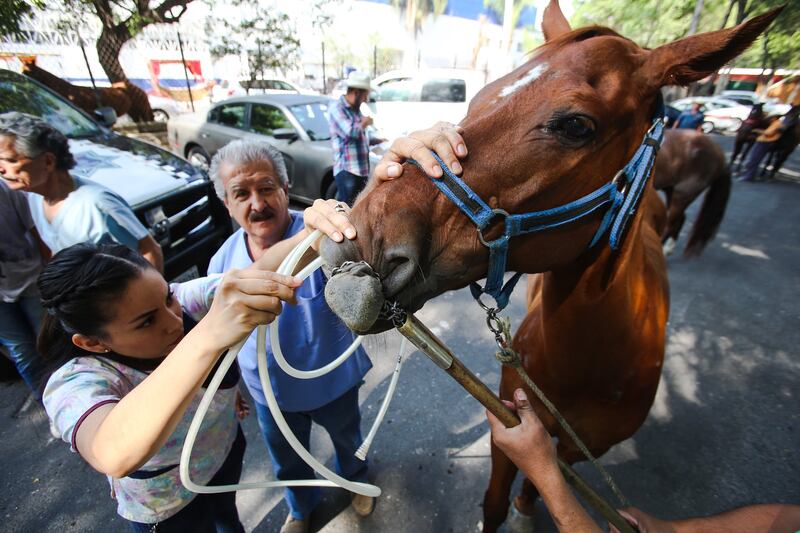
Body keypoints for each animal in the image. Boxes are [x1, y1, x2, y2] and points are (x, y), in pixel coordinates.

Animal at [320, 3, 780, 528]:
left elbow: (550, 478)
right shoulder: (507, 426)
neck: (586, 362)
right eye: (480, 97)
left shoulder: (580, 449)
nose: (356, 239)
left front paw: (529, 502)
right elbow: (495, 502)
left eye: (576, 125)